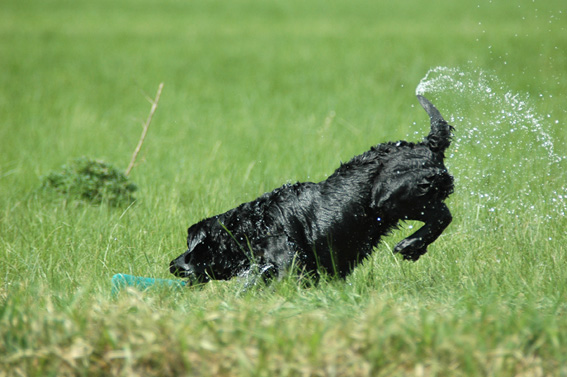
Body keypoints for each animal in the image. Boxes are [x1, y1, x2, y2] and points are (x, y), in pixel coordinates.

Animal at [171, 95, 454, 284]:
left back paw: (410, 244)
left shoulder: (286, 263)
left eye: (191, 248)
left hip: (389, 195)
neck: (252, 228)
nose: (173, 264)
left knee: (442, 214)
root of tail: (428, 146)